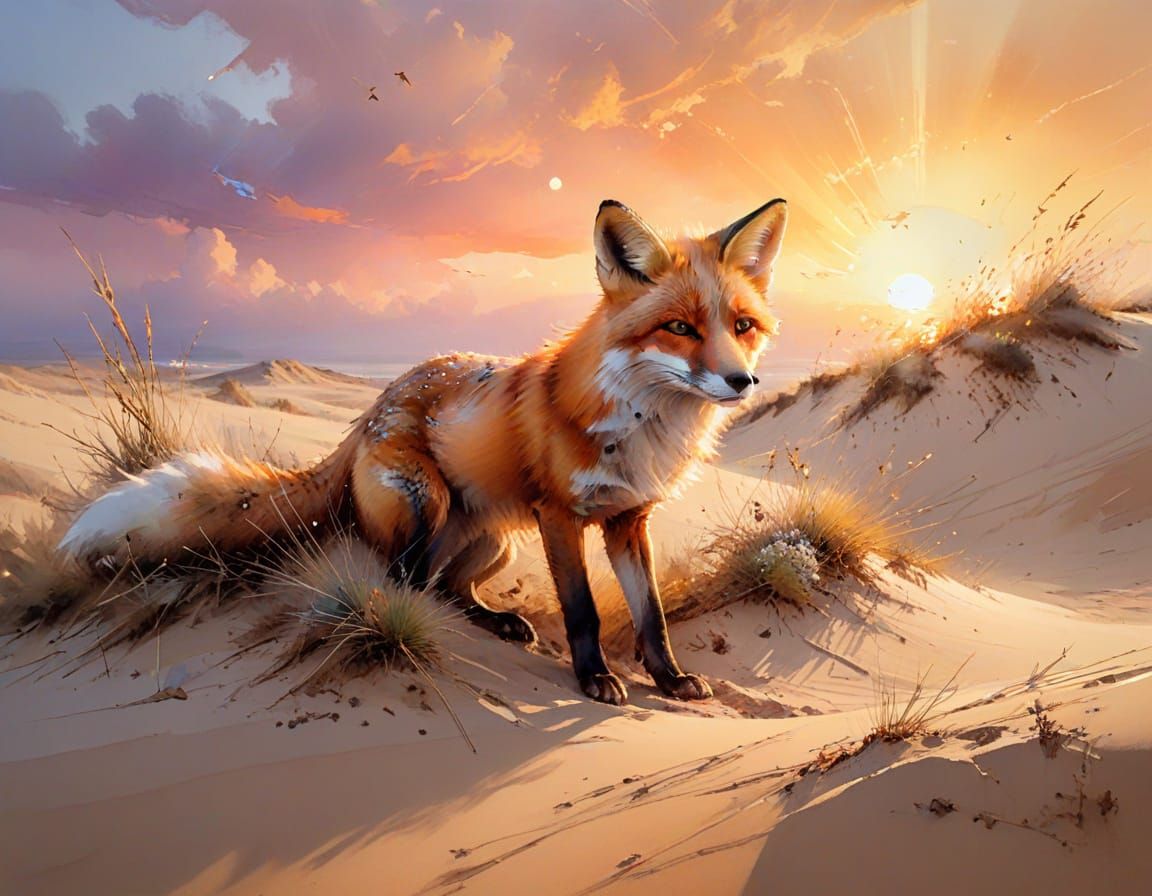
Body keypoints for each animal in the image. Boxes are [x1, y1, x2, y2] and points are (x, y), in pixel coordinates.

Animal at [60, 197, 788, 705]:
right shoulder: (558, 516)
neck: (641, 425)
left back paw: (497, 622)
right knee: (406, 579)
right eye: (679, 328)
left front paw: (670, 680)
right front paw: (594, 680)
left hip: (496, 540)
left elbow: (652, 615)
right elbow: (582, 610)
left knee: (445, 583)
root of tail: (377, 402)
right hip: (427, 500)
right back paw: (442, 626)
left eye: (741, 327)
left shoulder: (628, 520)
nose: (742, 382)